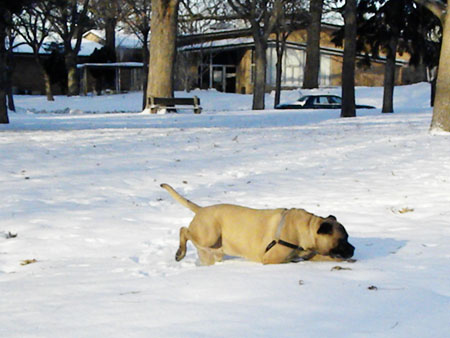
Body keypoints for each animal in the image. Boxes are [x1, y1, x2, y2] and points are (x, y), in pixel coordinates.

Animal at [160, 184, 354, 266]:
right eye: (343, 239)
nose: (354, 249)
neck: (306, 228)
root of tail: (201, 209)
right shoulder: (272, 258)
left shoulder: (311, 254)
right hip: (209, 235)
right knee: (183, 230)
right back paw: (180, 252)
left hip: (212, 251)